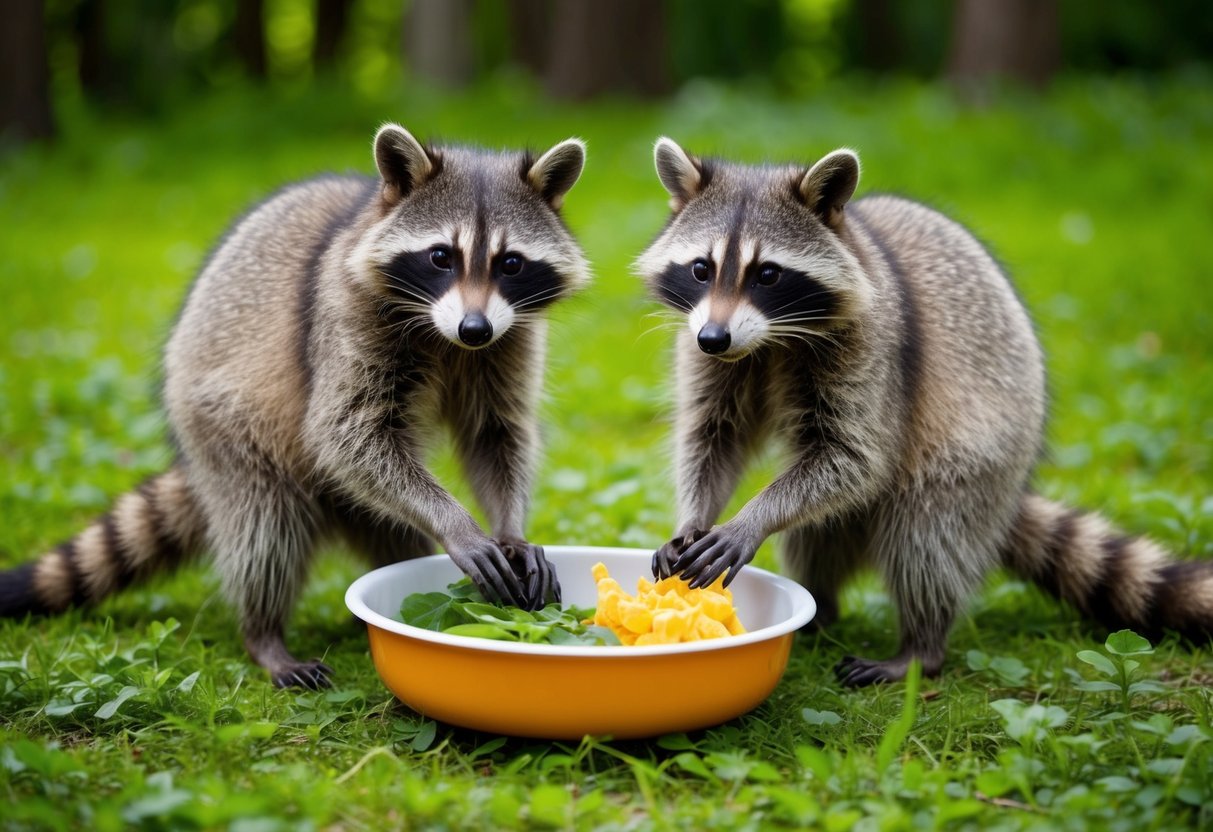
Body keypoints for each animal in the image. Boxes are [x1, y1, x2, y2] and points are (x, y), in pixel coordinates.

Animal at [0, 124, 589, 688]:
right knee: (265, 531)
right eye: (441, 256)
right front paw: (459, 524)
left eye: (510, 263)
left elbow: (496, 432)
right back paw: (263, 634)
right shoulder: (346, 317)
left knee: (392, 528)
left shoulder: (510, 336)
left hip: (355, 502)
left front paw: (510, 529)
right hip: (226, 431)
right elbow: (345, 433)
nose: (474, 328)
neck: (448, 337)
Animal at [636, 137, 1212, 686]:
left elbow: (856, 459)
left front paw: (750, 519)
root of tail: (1011, 495)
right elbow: (713, 437)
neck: (769, 340)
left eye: (768, 275)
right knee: (816, 536)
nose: (715, 338)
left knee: (926, 540)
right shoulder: (705, 344)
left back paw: (921, 646)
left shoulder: (874, 349)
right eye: (701, 268)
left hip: (980, 457)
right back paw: (819, 610)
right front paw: (694, 516)